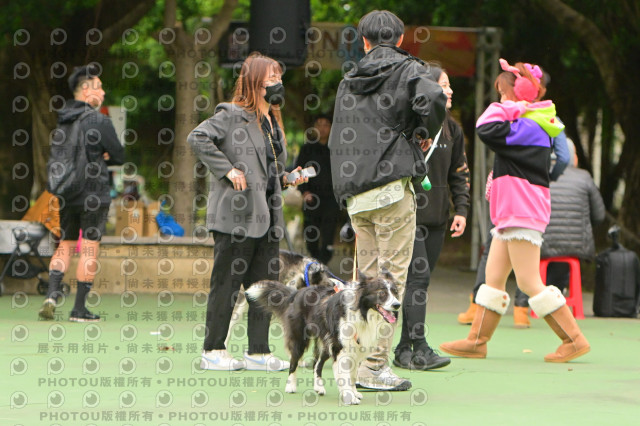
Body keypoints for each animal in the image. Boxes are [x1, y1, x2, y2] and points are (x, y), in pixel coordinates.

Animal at [246, 269, 401, 405]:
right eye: (382, 293)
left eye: (394, 292)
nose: (397, 305)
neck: (362, 312)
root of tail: (297, 292)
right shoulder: (341, 348)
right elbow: (345, 375)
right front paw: (349, 397)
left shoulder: (355, 348)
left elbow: (352, 375)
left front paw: (354, 393)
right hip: (300, 339)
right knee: (294, 361)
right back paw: (291, 386)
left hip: (326, 343)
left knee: (317, 364)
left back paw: (318, 387)